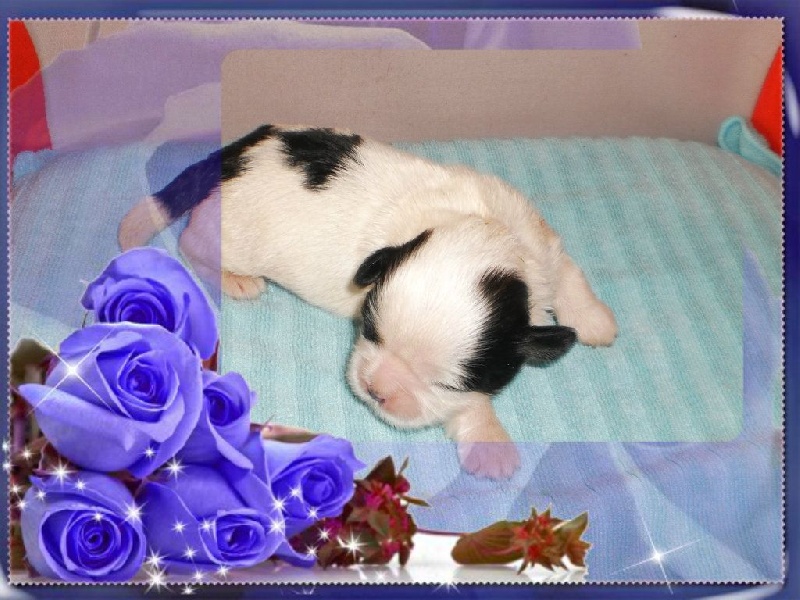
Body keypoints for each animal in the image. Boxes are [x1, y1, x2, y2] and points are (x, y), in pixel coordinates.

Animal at [119, 124, 618, 479]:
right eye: (370, 330)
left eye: (442, 380)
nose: (375, 390)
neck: (485, 230)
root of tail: (236, 155)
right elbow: (473, 406)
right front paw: (491, 445)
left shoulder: (539, 244)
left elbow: (567, 271)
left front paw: (595, 321)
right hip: (231, 233)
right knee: (193, 241)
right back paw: (235, 280)